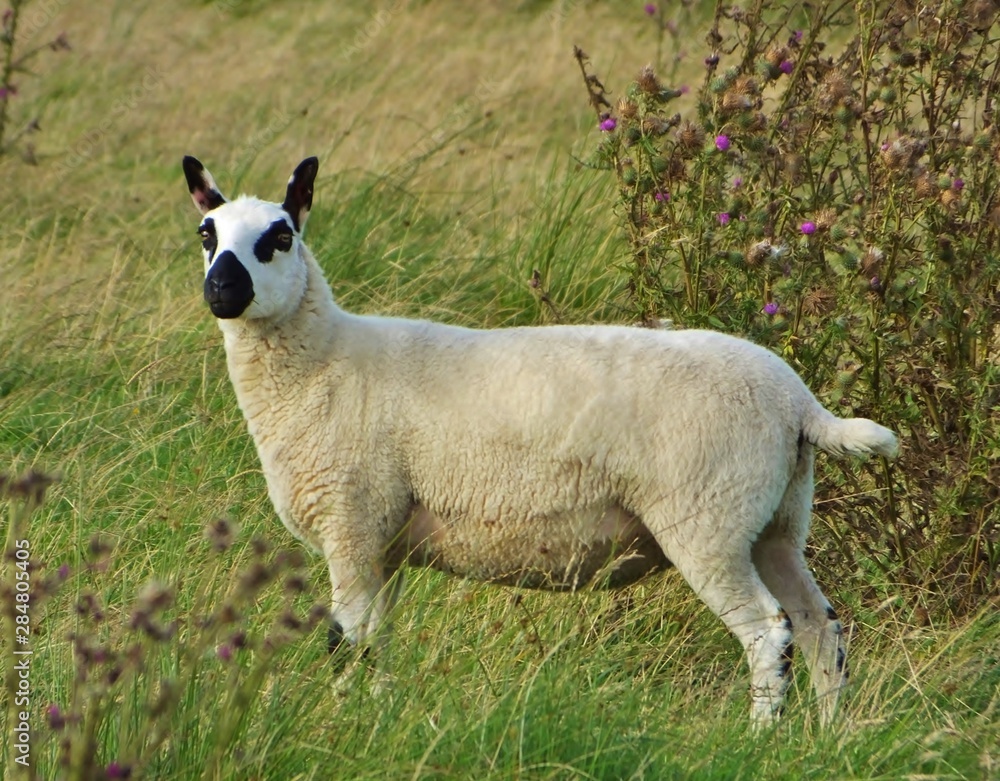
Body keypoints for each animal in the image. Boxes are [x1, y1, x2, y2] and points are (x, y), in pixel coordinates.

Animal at [181, 155, 899, 727]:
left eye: (280, 237)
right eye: (206, 235)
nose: (221, 288)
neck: (323, 363)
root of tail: (797, 401)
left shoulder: (352, 522)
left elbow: (345, 642)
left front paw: (345, 725)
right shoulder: (383, 542)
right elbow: (375, 645)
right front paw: (376, 719)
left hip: (709, 519)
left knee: (769, 634)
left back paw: (761, 736)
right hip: (776, 521)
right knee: (821, 627)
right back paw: (826, 736)